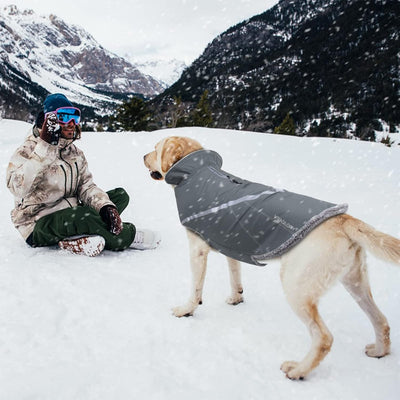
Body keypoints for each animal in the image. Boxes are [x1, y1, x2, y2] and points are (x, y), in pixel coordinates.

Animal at [145, 136, 400, 380]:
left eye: (156, 148)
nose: (143, 156)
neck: (197, 171)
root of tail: (345, 219)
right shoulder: (230, 245)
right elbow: (235, 275)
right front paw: (236, 297)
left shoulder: (197, 249)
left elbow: (196, 288)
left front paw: (186, 310)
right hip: (355, 282)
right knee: (382, 321)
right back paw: (379, 351)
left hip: (296, 286)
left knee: (324, 338)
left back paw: (298, 370)